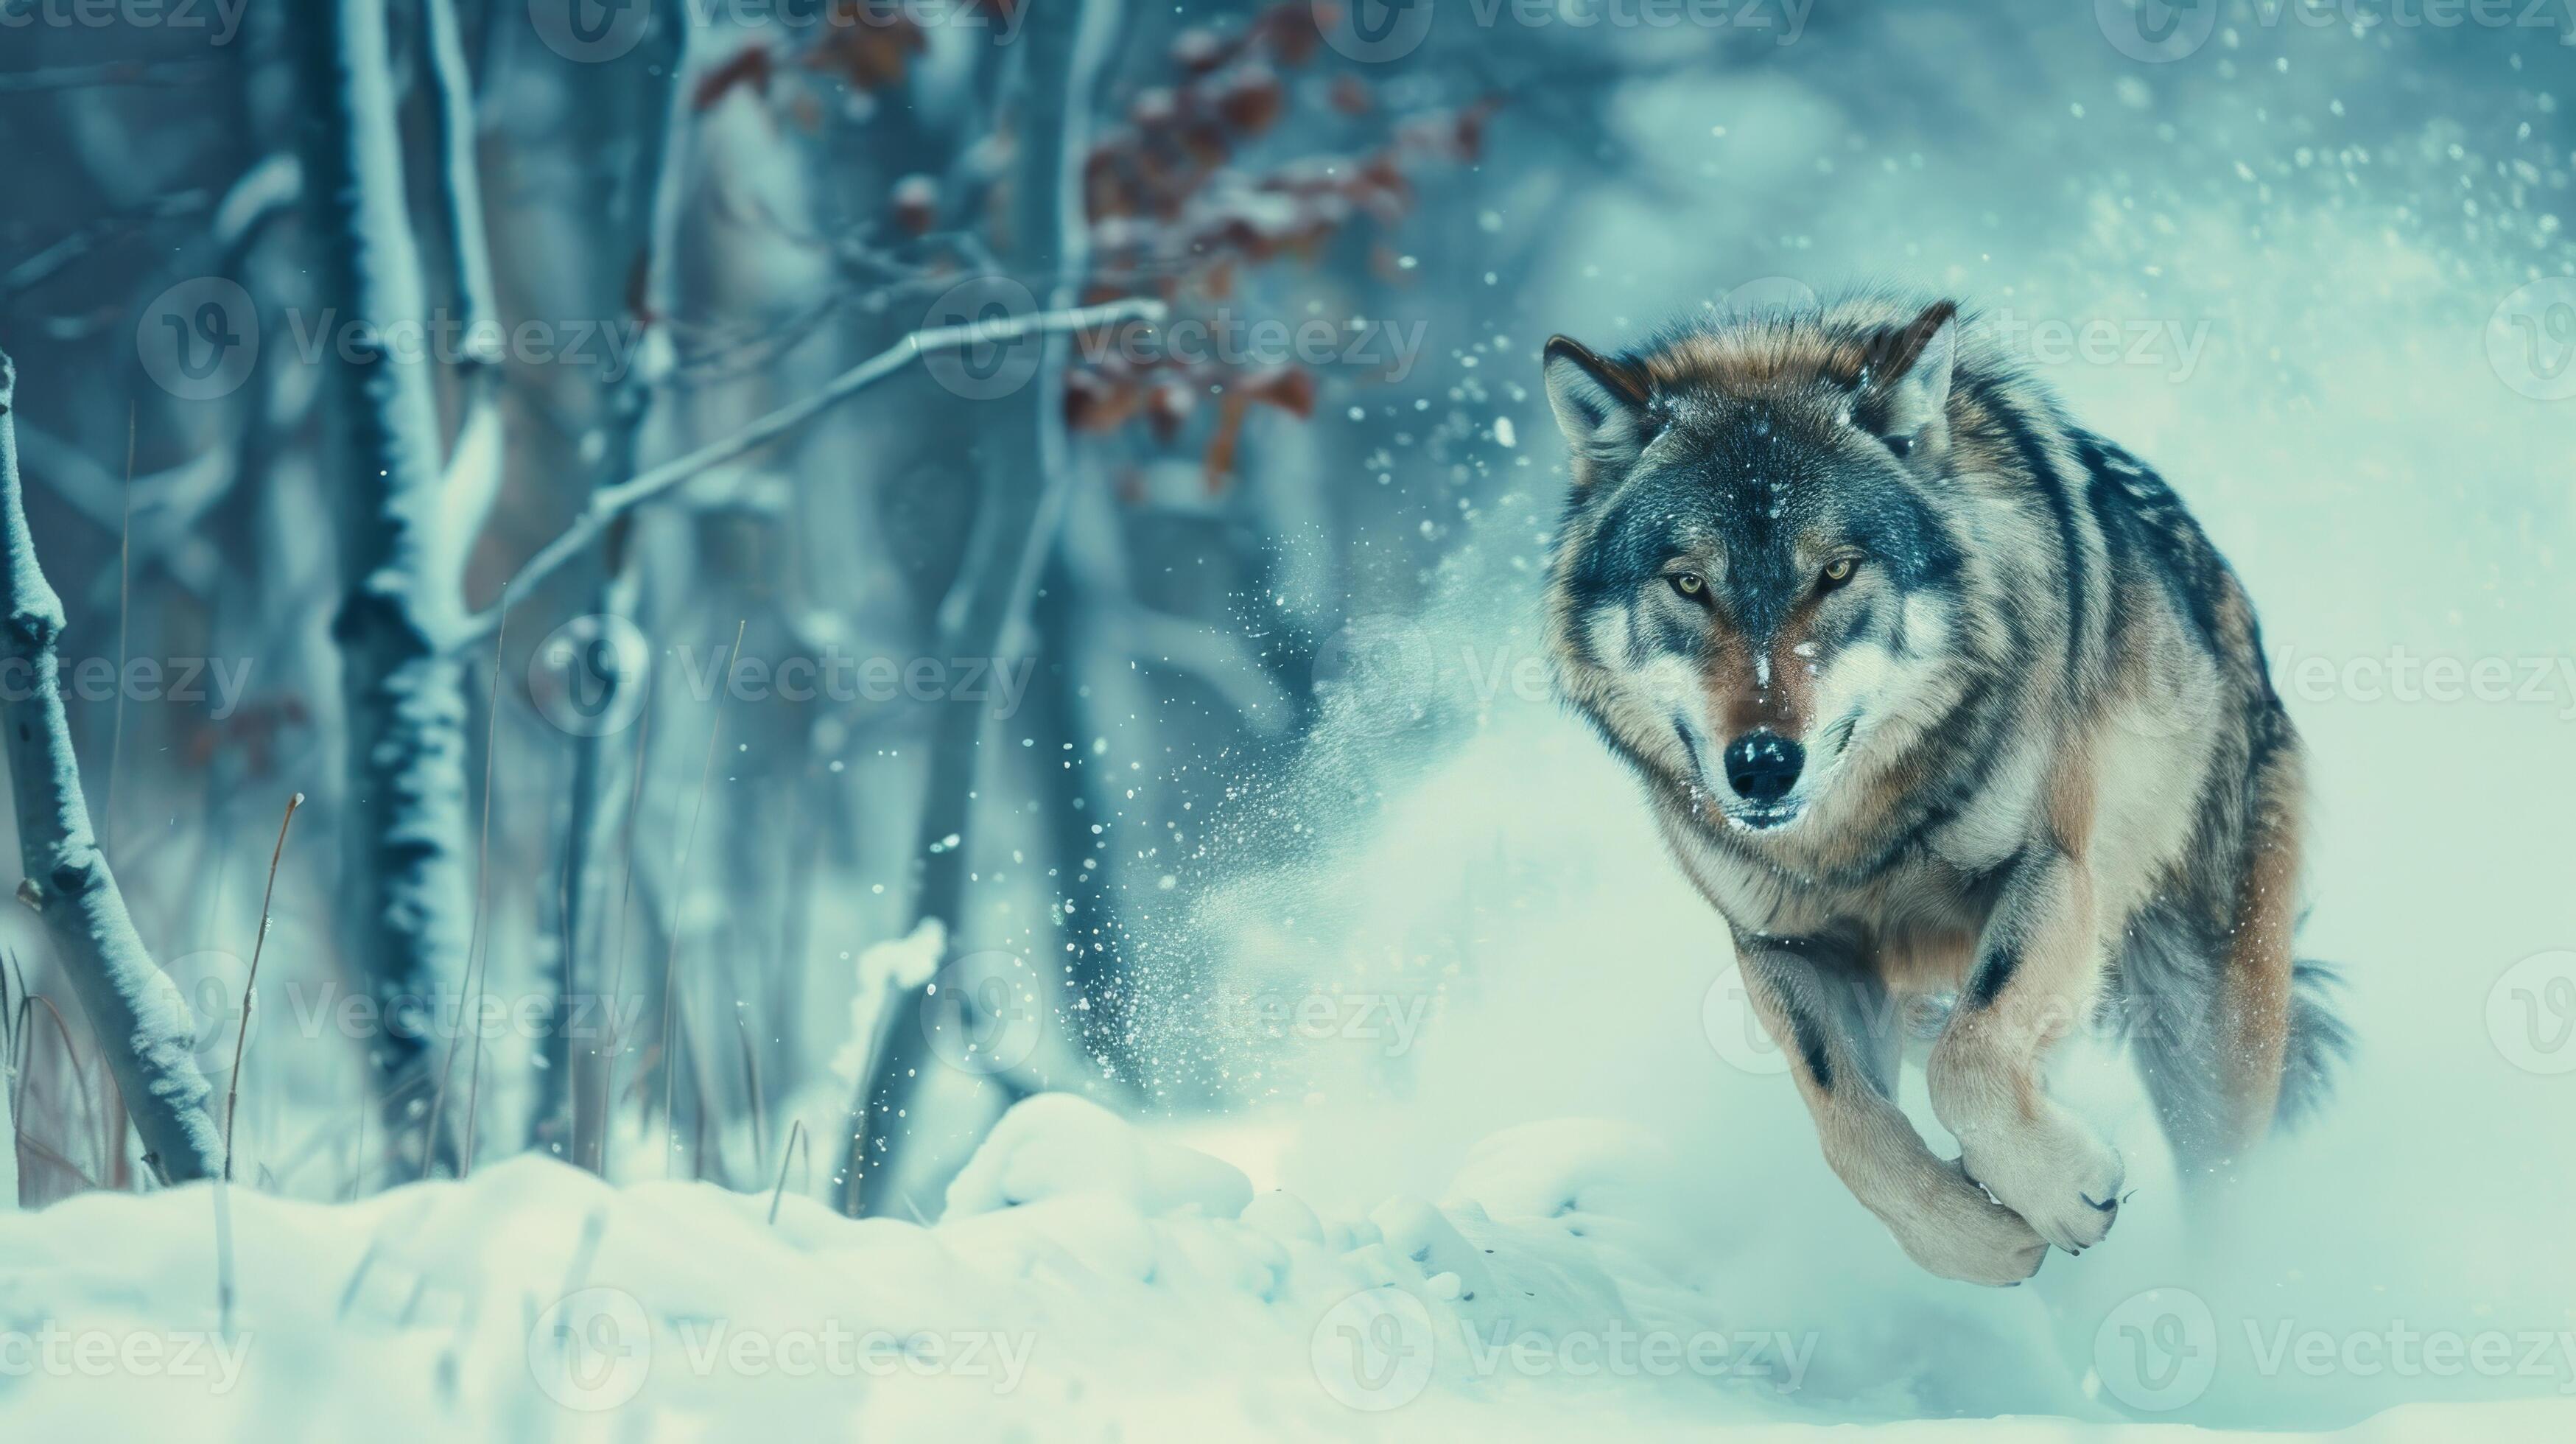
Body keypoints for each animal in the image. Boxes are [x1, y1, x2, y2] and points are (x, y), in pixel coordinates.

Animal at [1540, 294, 2346, 1284]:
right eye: (1689, 584)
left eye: (1835, 571)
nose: (1762, 763)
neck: (1856, 841)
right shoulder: (1784, 946)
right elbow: (1850, 1127)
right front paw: (1978, 1237)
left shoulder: (2047, 868)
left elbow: (1963, 1066)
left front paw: (2062, 1188)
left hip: (2204, 1027)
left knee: (2223, 1191)